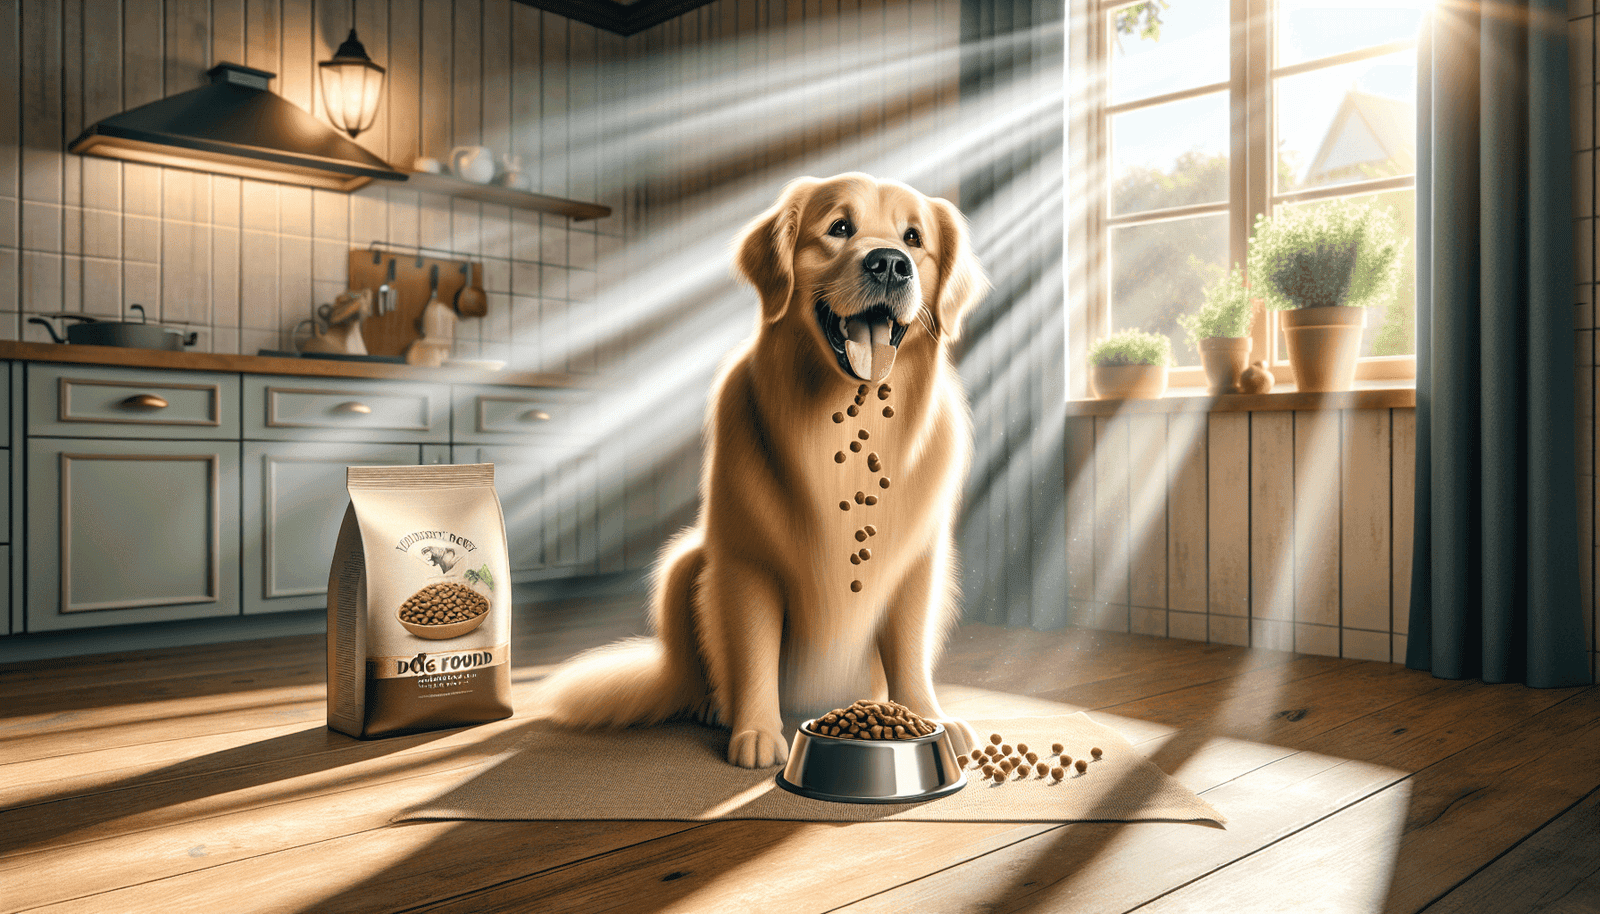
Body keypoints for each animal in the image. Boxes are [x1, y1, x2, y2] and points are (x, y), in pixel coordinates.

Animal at [537, 171, 985, 765]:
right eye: (839, 228)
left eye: (914, 239)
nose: (890, 263)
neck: (846, 422)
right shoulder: (748, 563)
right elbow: (753, 653)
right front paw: (755, 733)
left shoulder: (917, 564)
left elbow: (908, 652)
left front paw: (929, 718)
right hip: (685, 563)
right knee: (698, 672)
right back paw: (714, 707)